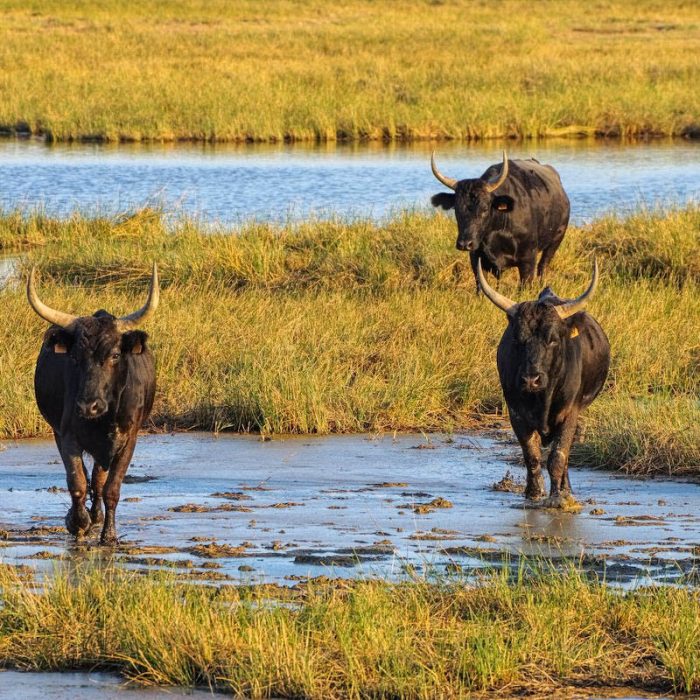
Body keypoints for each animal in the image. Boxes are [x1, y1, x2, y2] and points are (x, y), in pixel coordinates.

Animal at [27, 266, 159, 544]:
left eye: (115, 355)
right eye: (75, 356)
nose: (89, 406)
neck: (102, 419)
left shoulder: (128, 439)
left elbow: (111, 487)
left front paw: (109, 535)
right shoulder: (66, 435)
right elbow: (77, 482)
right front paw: (77, 523)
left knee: (99, 480)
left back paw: (98, 517)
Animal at [430, 152, 572, 288]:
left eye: (485, 208)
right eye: (456, 208)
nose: (465, 244)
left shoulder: (528, 259)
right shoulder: (476, 259)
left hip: (556, 240)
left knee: (543, 266)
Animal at [478, 260, 608, 506]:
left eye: (553, 339)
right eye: (518, 339)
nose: (531, 379)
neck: (542, 398)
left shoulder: (570, 413)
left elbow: (557, 457)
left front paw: (557, 497)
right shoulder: (517, 414)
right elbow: (532, 456)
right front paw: (533, 493)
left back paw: (566, 489)